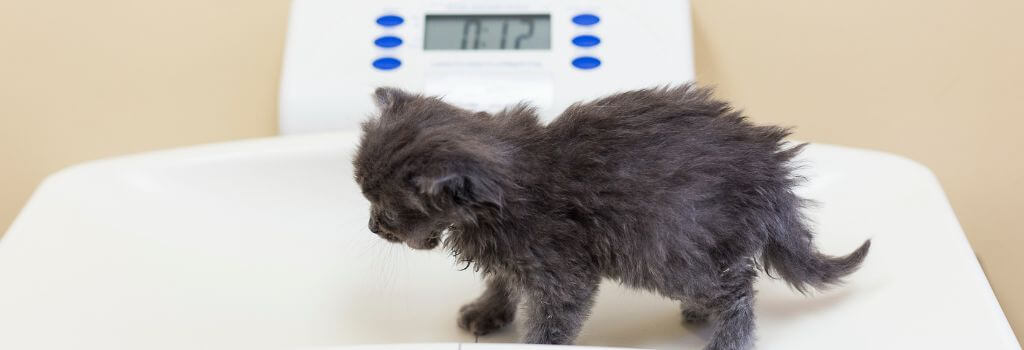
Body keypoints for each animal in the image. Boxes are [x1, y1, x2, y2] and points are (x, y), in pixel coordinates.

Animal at [354, 85, 872, 350]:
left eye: (390, 210)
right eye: (364, 193)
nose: (372, 226)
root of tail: (770, 168)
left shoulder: (561, 271)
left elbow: (551, 323)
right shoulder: (517, 256)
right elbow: (501, 280)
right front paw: (486, 311)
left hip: (666, 248)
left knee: (738, 287)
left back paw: (725, 339)